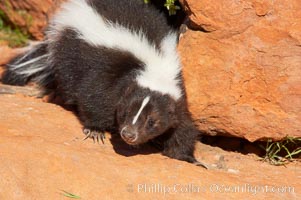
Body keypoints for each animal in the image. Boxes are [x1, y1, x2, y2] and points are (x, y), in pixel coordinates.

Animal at [1, 0, 205, 167]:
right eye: (125, 112)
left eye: (152, 121)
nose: (128, 134)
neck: (155, 65)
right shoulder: (110, 72)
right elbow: (95, 96)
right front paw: (95, 129)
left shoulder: (176, 95)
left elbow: (183, 126)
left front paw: (188, 158)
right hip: (72, 52)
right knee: (68, 79)